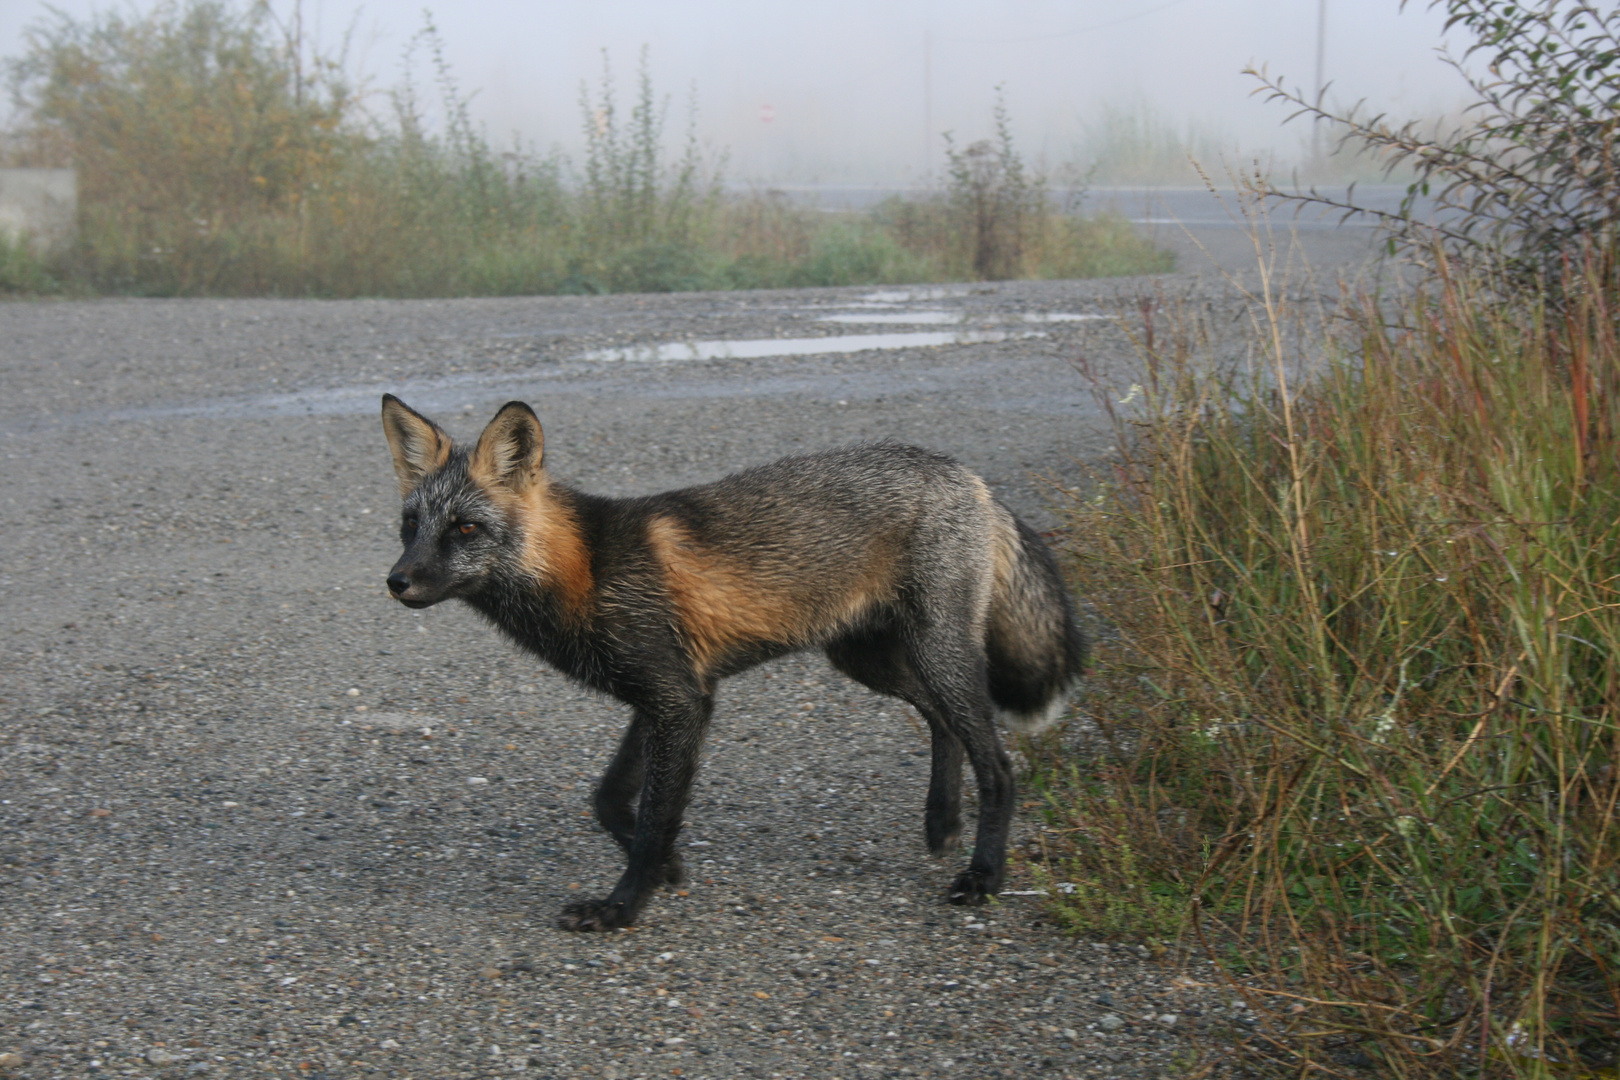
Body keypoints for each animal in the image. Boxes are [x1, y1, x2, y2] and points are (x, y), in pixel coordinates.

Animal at [382, 393, 1088, 932]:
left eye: (465, 529)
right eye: (410, 526)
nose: (396, 582)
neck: (584, 569)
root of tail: (969, 476)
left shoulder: (679, 699)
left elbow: (651, 820)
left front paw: (622, 907)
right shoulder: (664, 696)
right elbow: (609, 800)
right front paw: (667, 869)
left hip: (933, 652)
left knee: (997, 764)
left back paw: (984, 873)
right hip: (868, 659)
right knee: (942, 724)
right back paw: (941, 822)